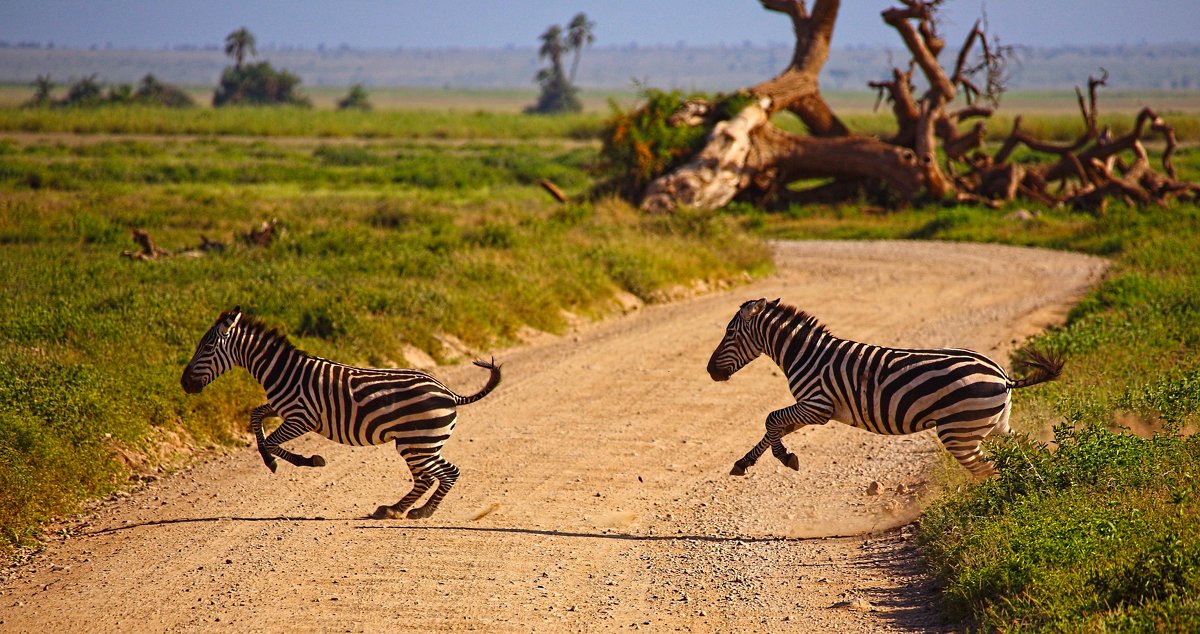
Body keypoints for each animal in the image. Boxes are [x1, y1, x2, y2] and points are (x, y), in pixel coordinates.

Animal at [178, 307, 501, 521]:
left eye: (207, 347)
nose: (184, 384)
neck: (282, 371)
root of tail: (449, 392)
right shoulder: (282, 409)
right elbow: (256, 417)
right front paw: (275, 461)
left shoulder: (301, 417)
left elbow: (270, 441)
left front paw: (301, 461)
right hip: (417, 443)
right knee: (426, 478)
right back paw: (394, 509)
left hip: (418, 442)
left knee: (447, 473)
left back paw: (422, 512)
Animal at [705, 297, 1065, 475]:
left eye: (730, 333)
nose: (710, 372)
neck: (805, 354)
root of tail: (1001, 376)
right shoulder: (811, 410)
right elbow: (773, 428)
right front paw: (745, 463)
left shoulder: (817, 406)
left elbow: (771, 420)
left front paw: (785, 458)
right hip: (995, 424)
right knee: (1028, 449)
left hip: (958, 431)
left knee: (986, 469)